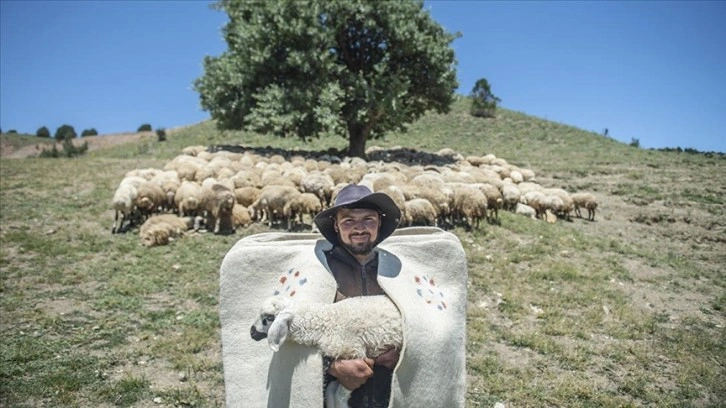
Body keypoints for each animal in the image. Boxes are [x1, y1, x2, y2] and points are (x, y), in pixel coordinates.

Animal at [252, 294, 404, 408]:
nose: (252, 332)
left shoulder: (353, 352)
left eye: (269, 318)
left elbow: (338, 395)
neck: (327, 321)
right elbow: (333, 391)